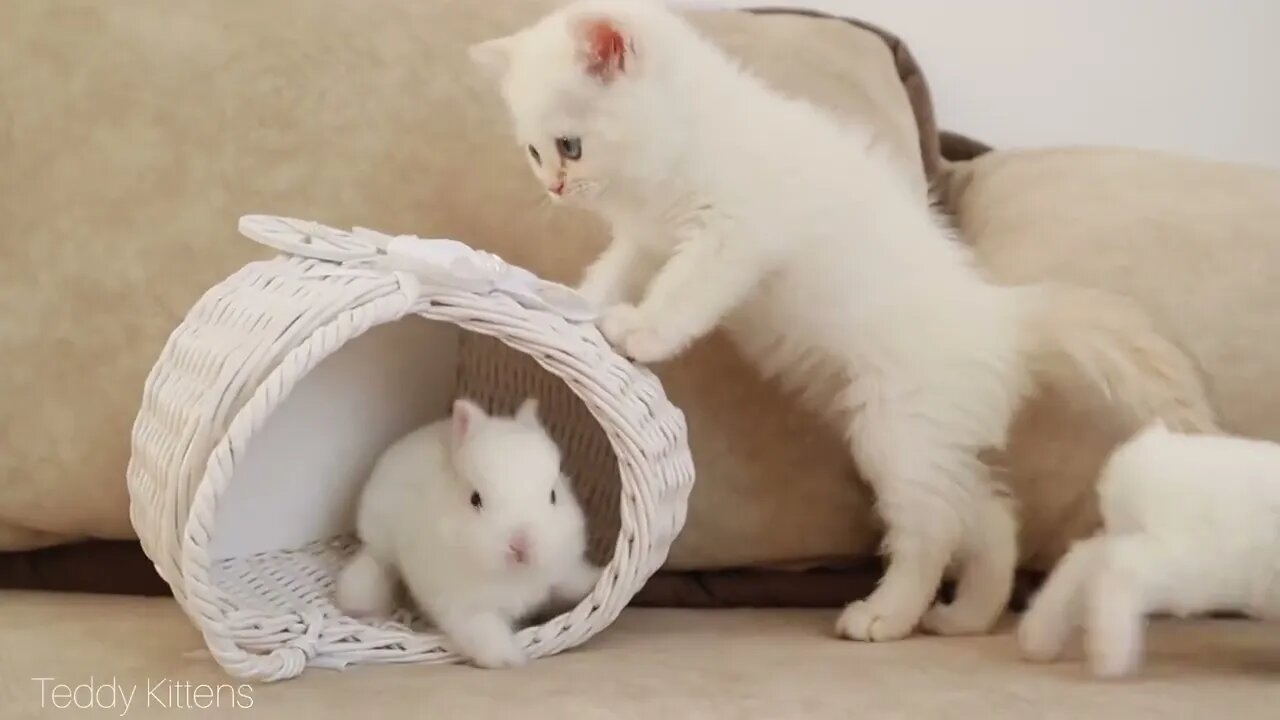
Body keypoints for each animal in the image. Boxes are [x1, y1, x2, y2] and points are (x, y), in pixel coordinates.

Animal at [337, 394, 601, 666]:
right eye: (475, 499)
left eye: (553, 495)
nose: (521, 545)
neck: (515, 576)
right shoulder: (466, 609)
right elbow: (487, 635)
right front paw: (511, 660)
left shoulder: (563, 570)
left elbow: (575, 583)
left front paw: (598, 583)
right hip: (373, 563)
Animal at [468, 0, 1208, 638]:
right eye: (534, 153)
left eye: (569, 146)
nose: (553, 188)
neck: (689, 141)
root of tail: (998, 315)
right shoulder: (646, 240)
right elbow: (613, 273)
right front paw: (572, 303)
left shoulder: (734, 235)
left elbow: (685, 290)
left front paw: (641, 331)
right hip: (922, 437)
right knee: (989, 514)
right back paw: (967, 615)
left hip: (897, 426)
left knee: (931, 530)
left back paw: (887, 616)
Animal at [1018, 420, 1280, 671]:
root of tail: (1144, 452)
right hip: (1186, 568)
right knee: (1121, 570)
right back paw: (1111, 654)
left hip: (1130, 538)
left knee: (1080, 562)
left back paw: (1039, 640)